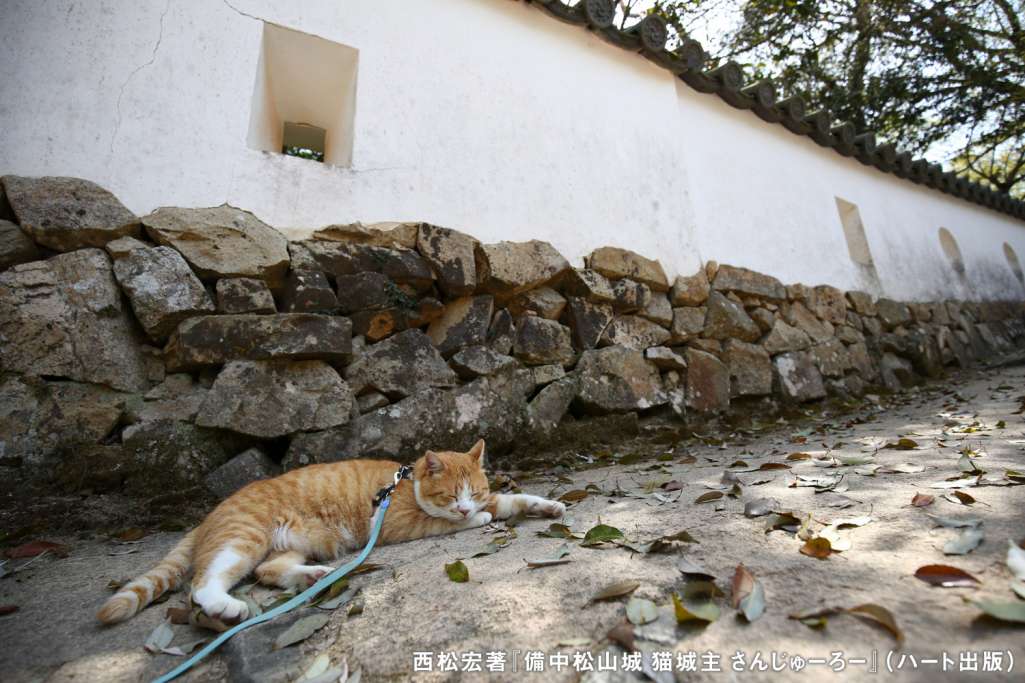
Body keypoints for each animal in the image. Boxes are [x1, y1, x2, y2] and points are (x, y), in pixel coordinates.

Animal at [96, 438, 565, 623]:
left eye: (474, 489)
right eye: (451, 495)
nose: (467, 505)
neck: (406, 483)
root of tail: (209, 515)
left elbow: (511, 500)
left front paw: (543, 505)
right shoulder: (401, 523)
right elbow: (451, 521)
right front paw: (476, 519)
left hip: (292, 545)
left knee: (268, 571)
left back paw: (313, 576)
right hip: (243, 539)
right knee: (203, 582)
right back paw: (226, 605)